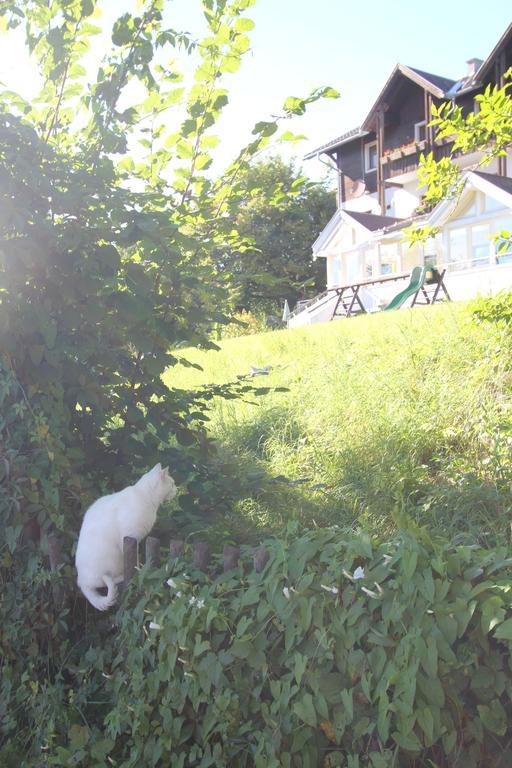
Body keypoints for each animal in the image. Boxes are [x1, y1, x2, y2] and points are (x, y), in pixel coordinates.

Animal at [75, 462, 177, 612]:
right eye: (172, 483)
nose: (177, 489)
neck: (147, 498)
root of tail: (80, 581)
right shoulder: (131, 536)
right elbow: (134, 558)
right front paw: (139, 570)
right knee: (103, 582)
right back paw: (119, 577)